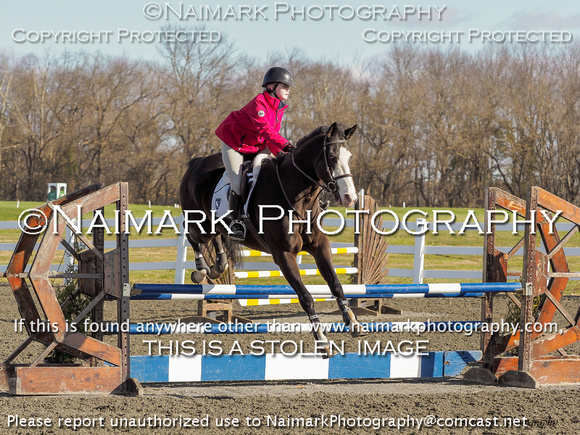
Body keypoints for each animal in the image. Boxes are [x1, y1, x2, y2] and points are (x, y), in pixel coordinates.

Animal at [180, 122, 362, 358]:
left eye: (349, 157)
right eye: (331, 157)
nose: (350, 198)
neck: (297, 197)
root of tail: (195, 163)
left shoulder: (320, 246)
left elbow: (336, 284)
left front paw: (353, 322)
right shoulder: (283, 255)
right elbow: (306, 297)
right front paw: (322, 340)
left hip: (214, 225)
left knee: (218, 236)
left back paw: (218, 266)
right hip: (199, 225)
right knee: (191, 235)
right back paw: (202, 269)